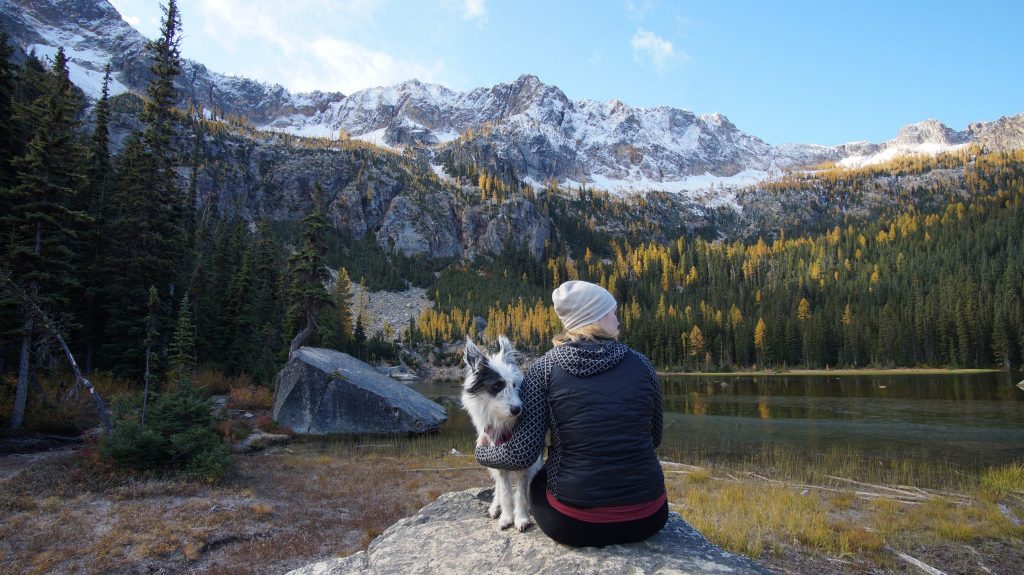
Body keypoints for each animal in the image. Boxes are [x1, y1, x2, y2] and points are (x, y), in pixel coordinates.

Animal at [464, 335, 544, 527]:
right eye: (497, 386)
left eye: (515, 384)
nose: (517, 410)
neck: (505, 423)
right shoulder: (499, 458)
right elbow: (506, 493)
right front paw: (507, 517)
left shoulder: (524, 460)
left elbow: (521, 493)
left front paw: (521, 517)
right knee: (499, 487)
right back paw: (496, 506)